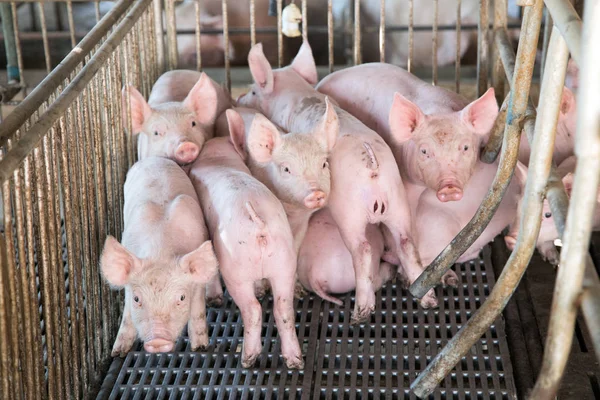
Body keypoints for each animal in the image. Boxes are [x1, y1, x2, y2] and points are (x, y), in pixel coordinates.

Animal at [99, 155, 219, 354]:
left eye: (181, 298)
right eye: (137, 299)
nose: (157, 341)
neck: (160, 251)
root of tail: (155, 159)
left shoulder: (196, 285)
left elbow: (197, 312)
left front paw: (200, 348)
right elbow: (127, 316)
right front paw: (118, 352)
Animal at [190, 113, 304, 368]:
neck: (219, 158)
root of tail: (258, 224)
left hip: (235, 271)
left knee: (253, 309)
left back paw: (248, 359)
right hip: (284, 261)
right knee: (284, 308)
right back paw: (295, 361)